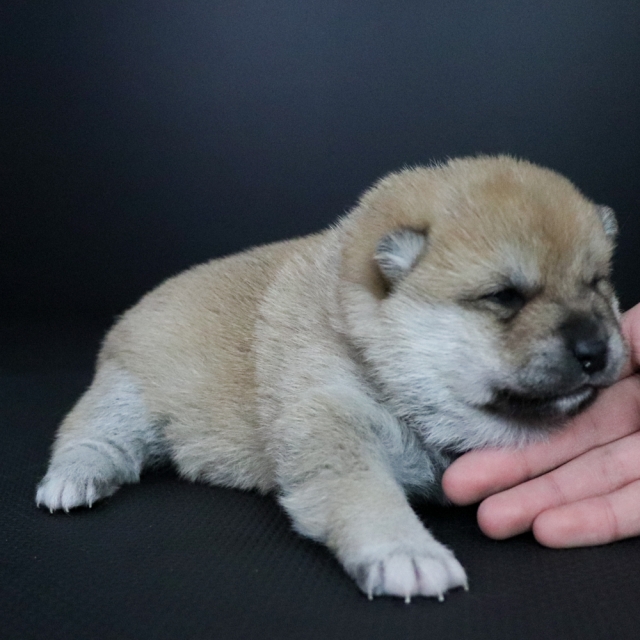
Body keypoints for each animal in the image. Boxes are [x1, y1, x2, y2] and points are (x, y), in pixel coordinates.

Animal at [36, 156, 627, 601]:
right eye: (505, 296)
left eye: (597, 283)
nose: (596, 349)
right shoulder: (329, 418)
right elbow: (365, 494)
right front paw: (407, 552)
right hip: (126, 393)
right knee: (91, 434)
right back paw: (75, 478)